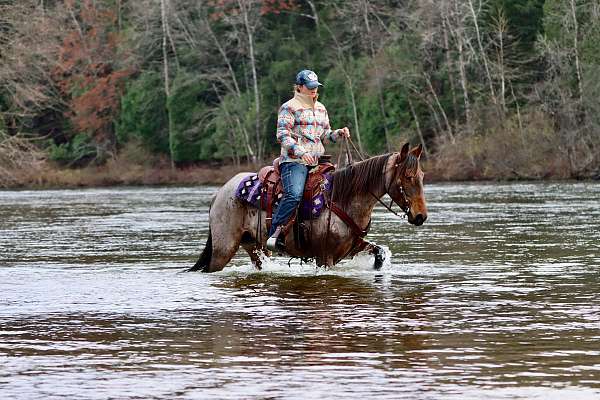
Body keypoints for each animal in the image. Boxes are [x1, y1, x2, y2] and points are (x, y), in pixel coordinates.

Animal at [188, 142, 426, 274]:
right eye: (407, 177)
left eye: (422, 175)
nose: (420, 216)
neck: (343, 199)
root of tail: (219, 192)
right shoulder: (324, 257)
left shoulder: (353, 246)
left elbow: (379, 253)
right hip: (224, 248)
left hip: (254, 246)